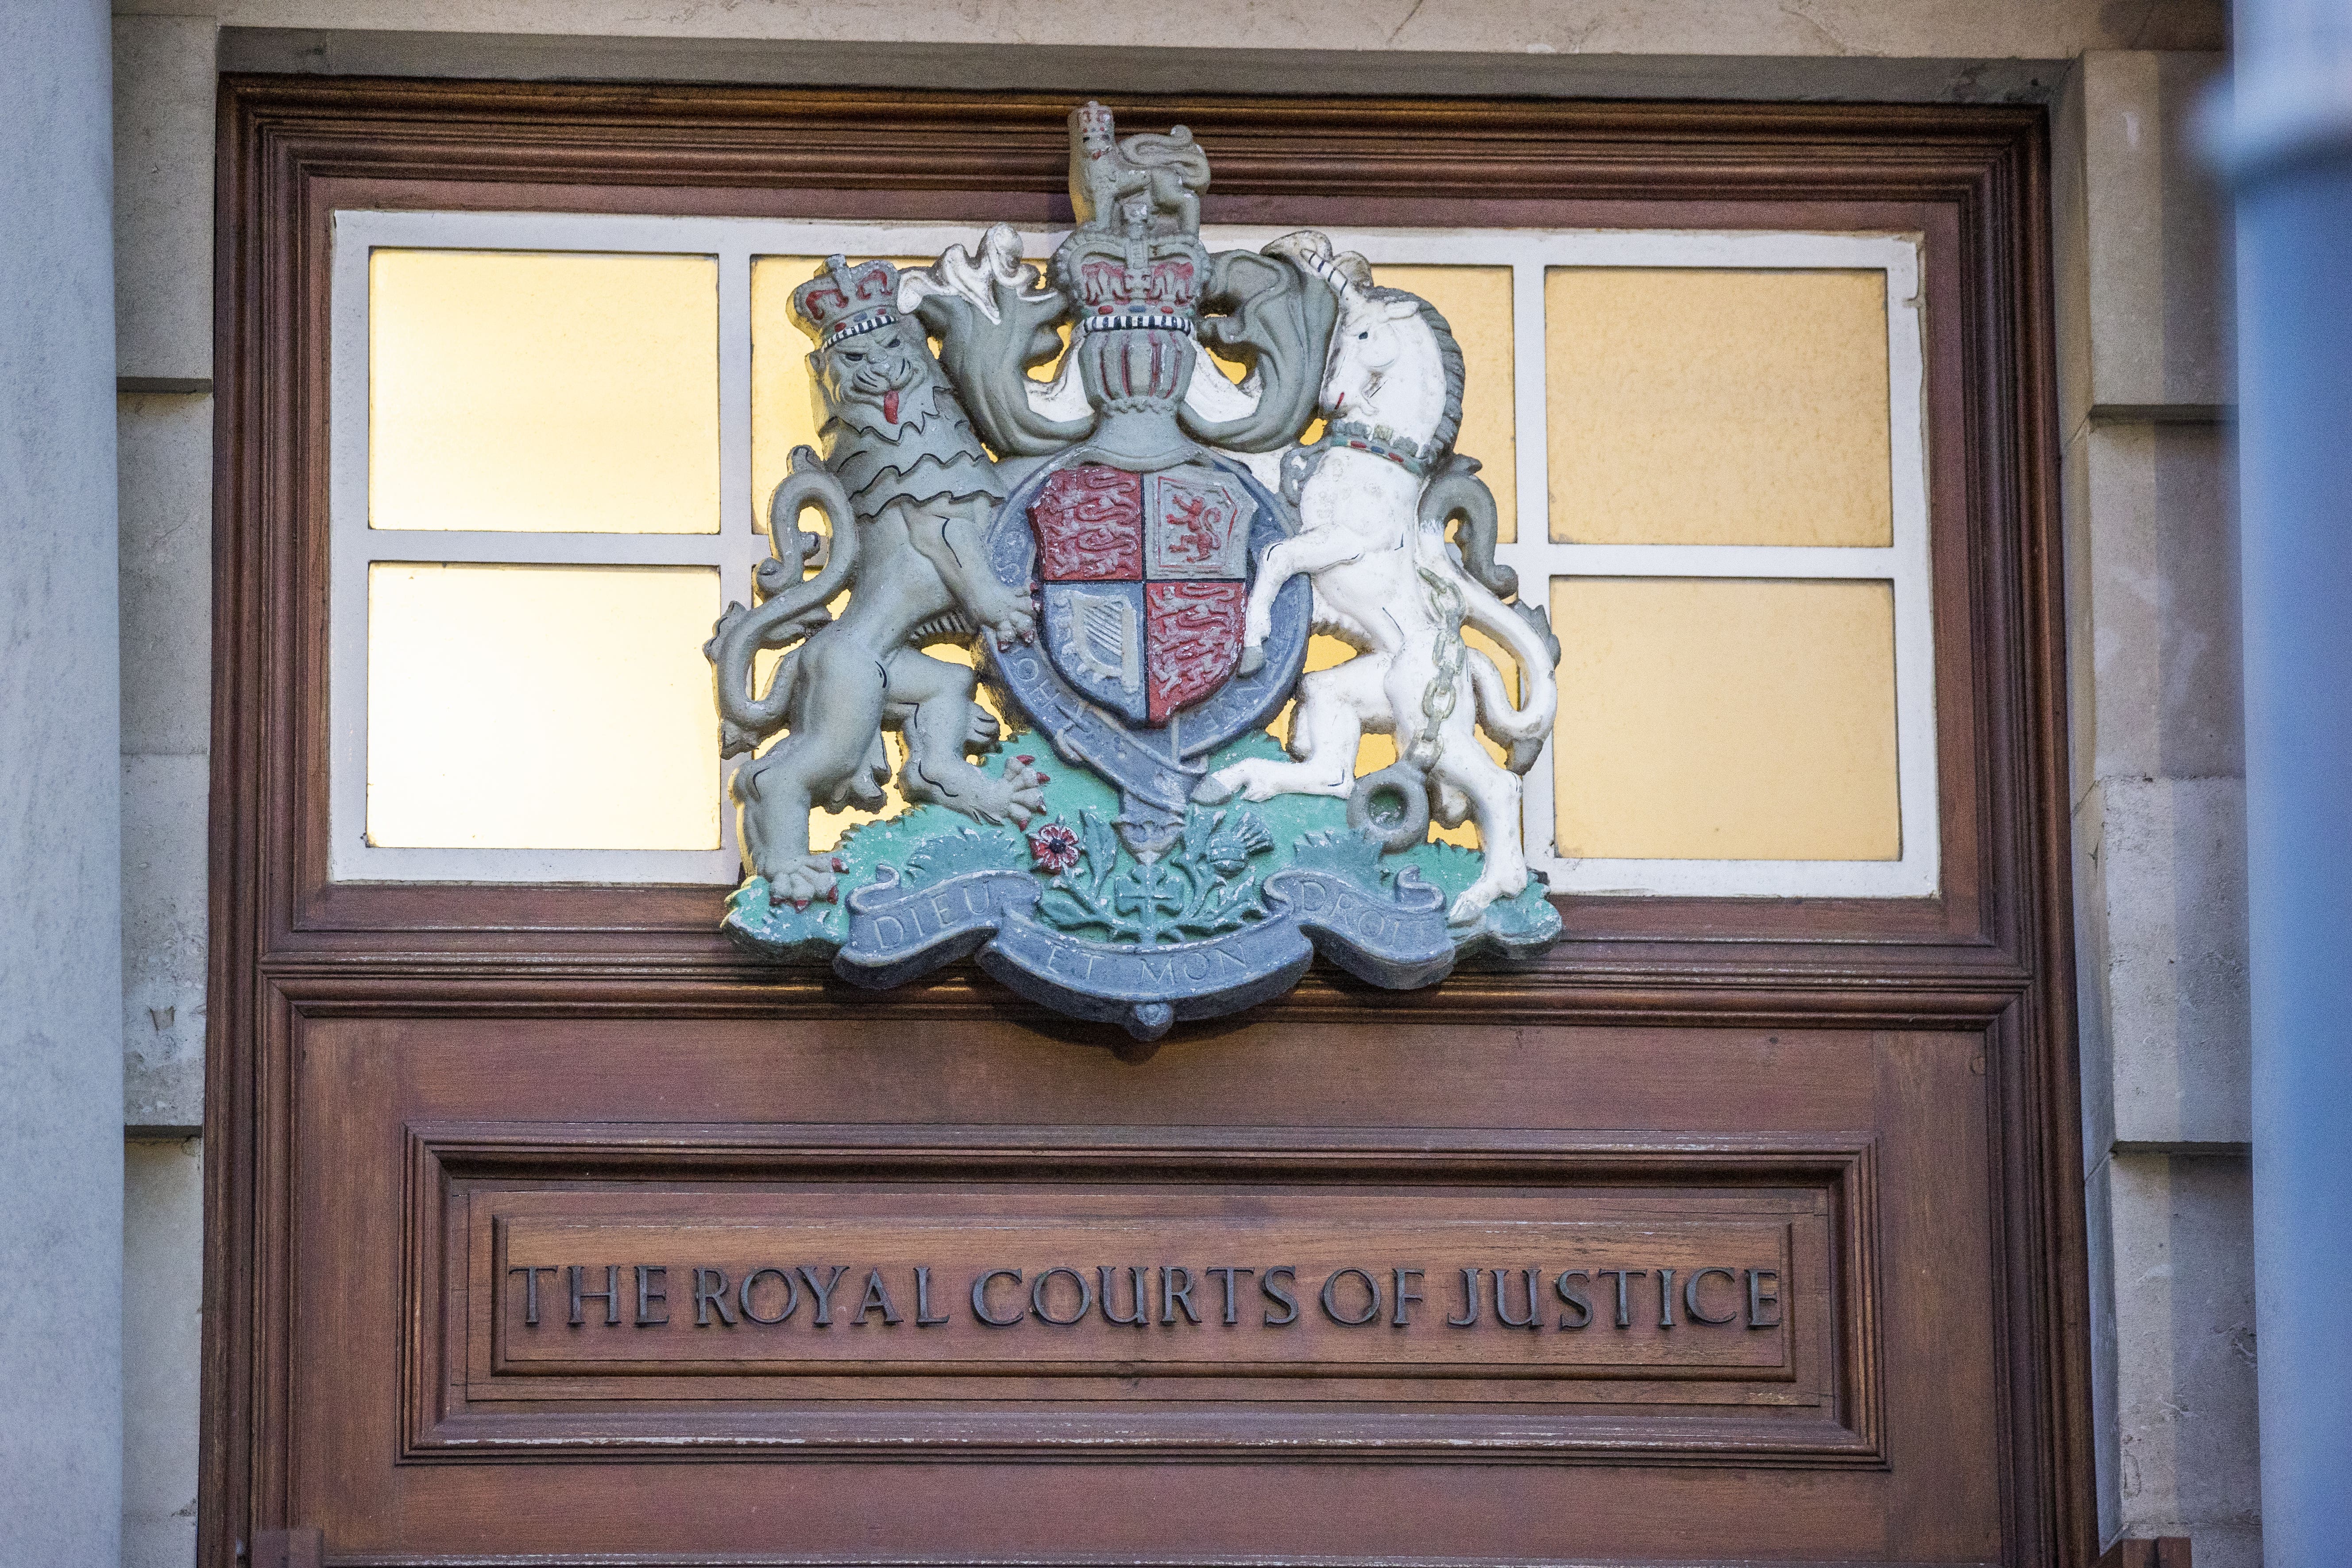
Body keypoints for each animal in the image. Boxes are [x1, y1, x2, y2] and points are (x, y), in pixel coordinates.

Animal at [701, 256, 1044, 907]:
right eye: (855, 356)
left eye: (892, 344)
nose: (883, 371)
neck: (914, 436)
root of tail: (804, 656)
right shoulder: (938, 524)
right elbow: (966, 559)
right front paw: (1007, 612)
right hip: (850, 697)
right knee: (770, 775)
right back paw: (794, 872)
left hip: (899, 676)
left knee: (935, 730)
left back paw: (982, 783)